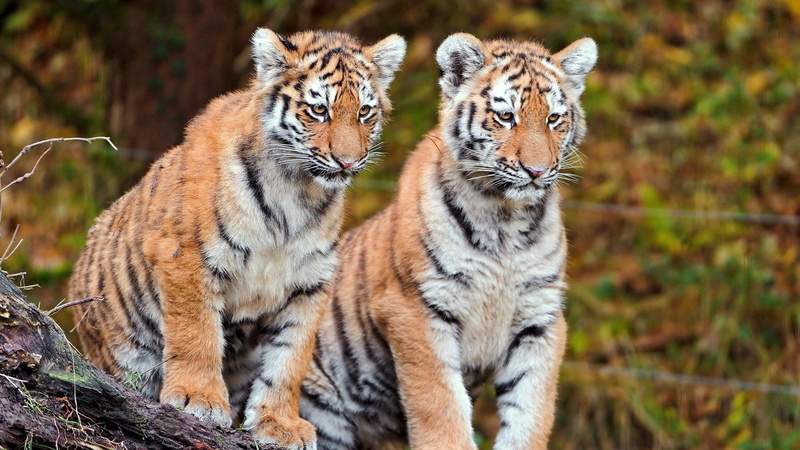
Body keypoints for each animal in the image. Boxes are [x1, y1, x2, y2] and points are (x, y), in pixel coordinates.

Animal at [69, 28, 406, 449]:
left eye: (364, 112)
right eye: (318, 111)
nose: (347, 161)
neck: (297, 191)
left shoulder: (310, 284)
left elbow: (289, 360)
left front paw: (279, 423)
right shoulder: (187, 257)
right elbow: (197, 336)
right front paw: (198, 399)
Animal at [298, 33, 597, 449]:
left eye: (554, 118)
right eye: (506, 117)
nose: (537, 171)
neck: (505, 218)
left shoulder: (540, 318)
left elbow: (531, 413)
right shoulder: (416, 309)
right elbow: (441, 408)